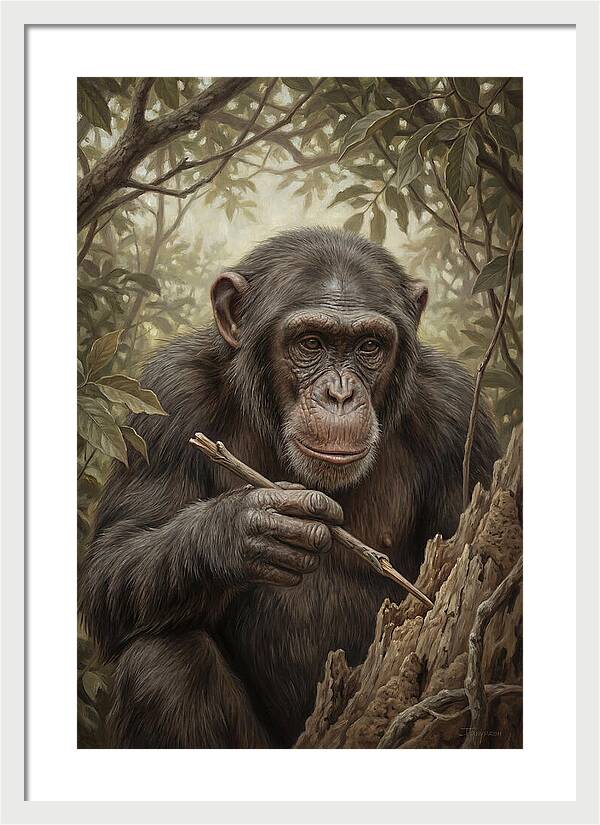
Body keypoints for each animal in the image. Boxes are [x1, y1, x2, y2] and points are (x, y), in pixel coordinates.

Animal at [79, 227, 499, 748]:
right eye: (310, 343)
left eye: (369, 347)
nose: (339, 394)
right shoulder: (167, 395)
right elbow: (111, 562)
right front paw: (246, 531)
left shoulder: (460, 416)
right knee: (161, 661)